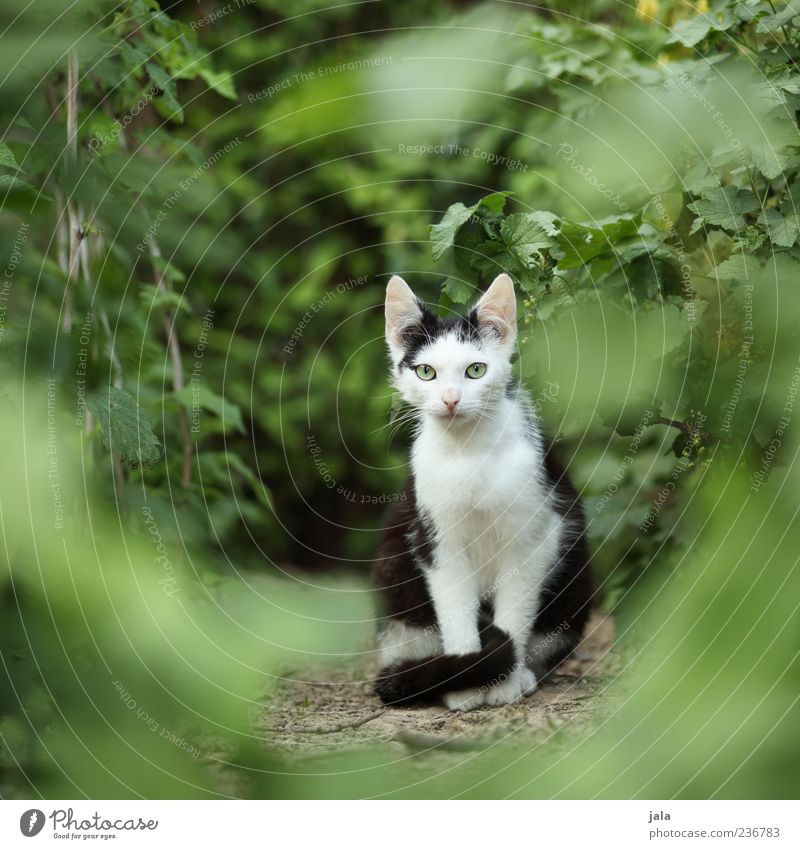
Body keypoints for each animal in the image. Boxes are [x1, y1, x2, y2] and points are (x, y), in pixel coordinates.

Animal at [372, 274, 592, 708]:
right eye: (426, 372)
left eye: (475, 370)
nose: (451, 399)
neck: (468, 453)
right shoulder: (436, 539)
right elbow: (455, 606)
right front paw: (467, 682)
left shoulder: (536, 536)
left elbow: (515, 611)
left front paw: (504, 683)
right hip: (395, 571)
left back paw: (524, 675)